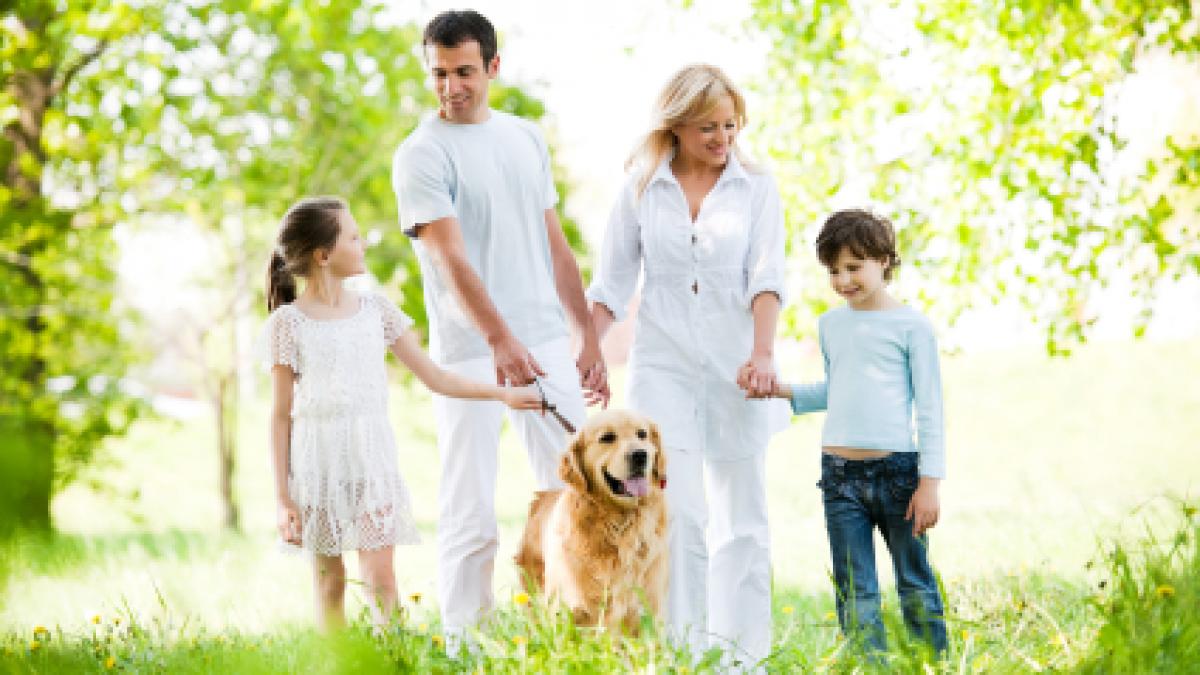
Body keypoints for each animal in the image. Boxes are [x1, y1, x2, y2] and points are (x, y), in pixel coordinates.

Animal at [513, 408, 672, 634]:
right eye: (607, 437)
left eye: (642, 434)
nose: (641, 455)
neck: (619, 525)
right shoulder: (568, 613)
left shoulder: (649, 613)